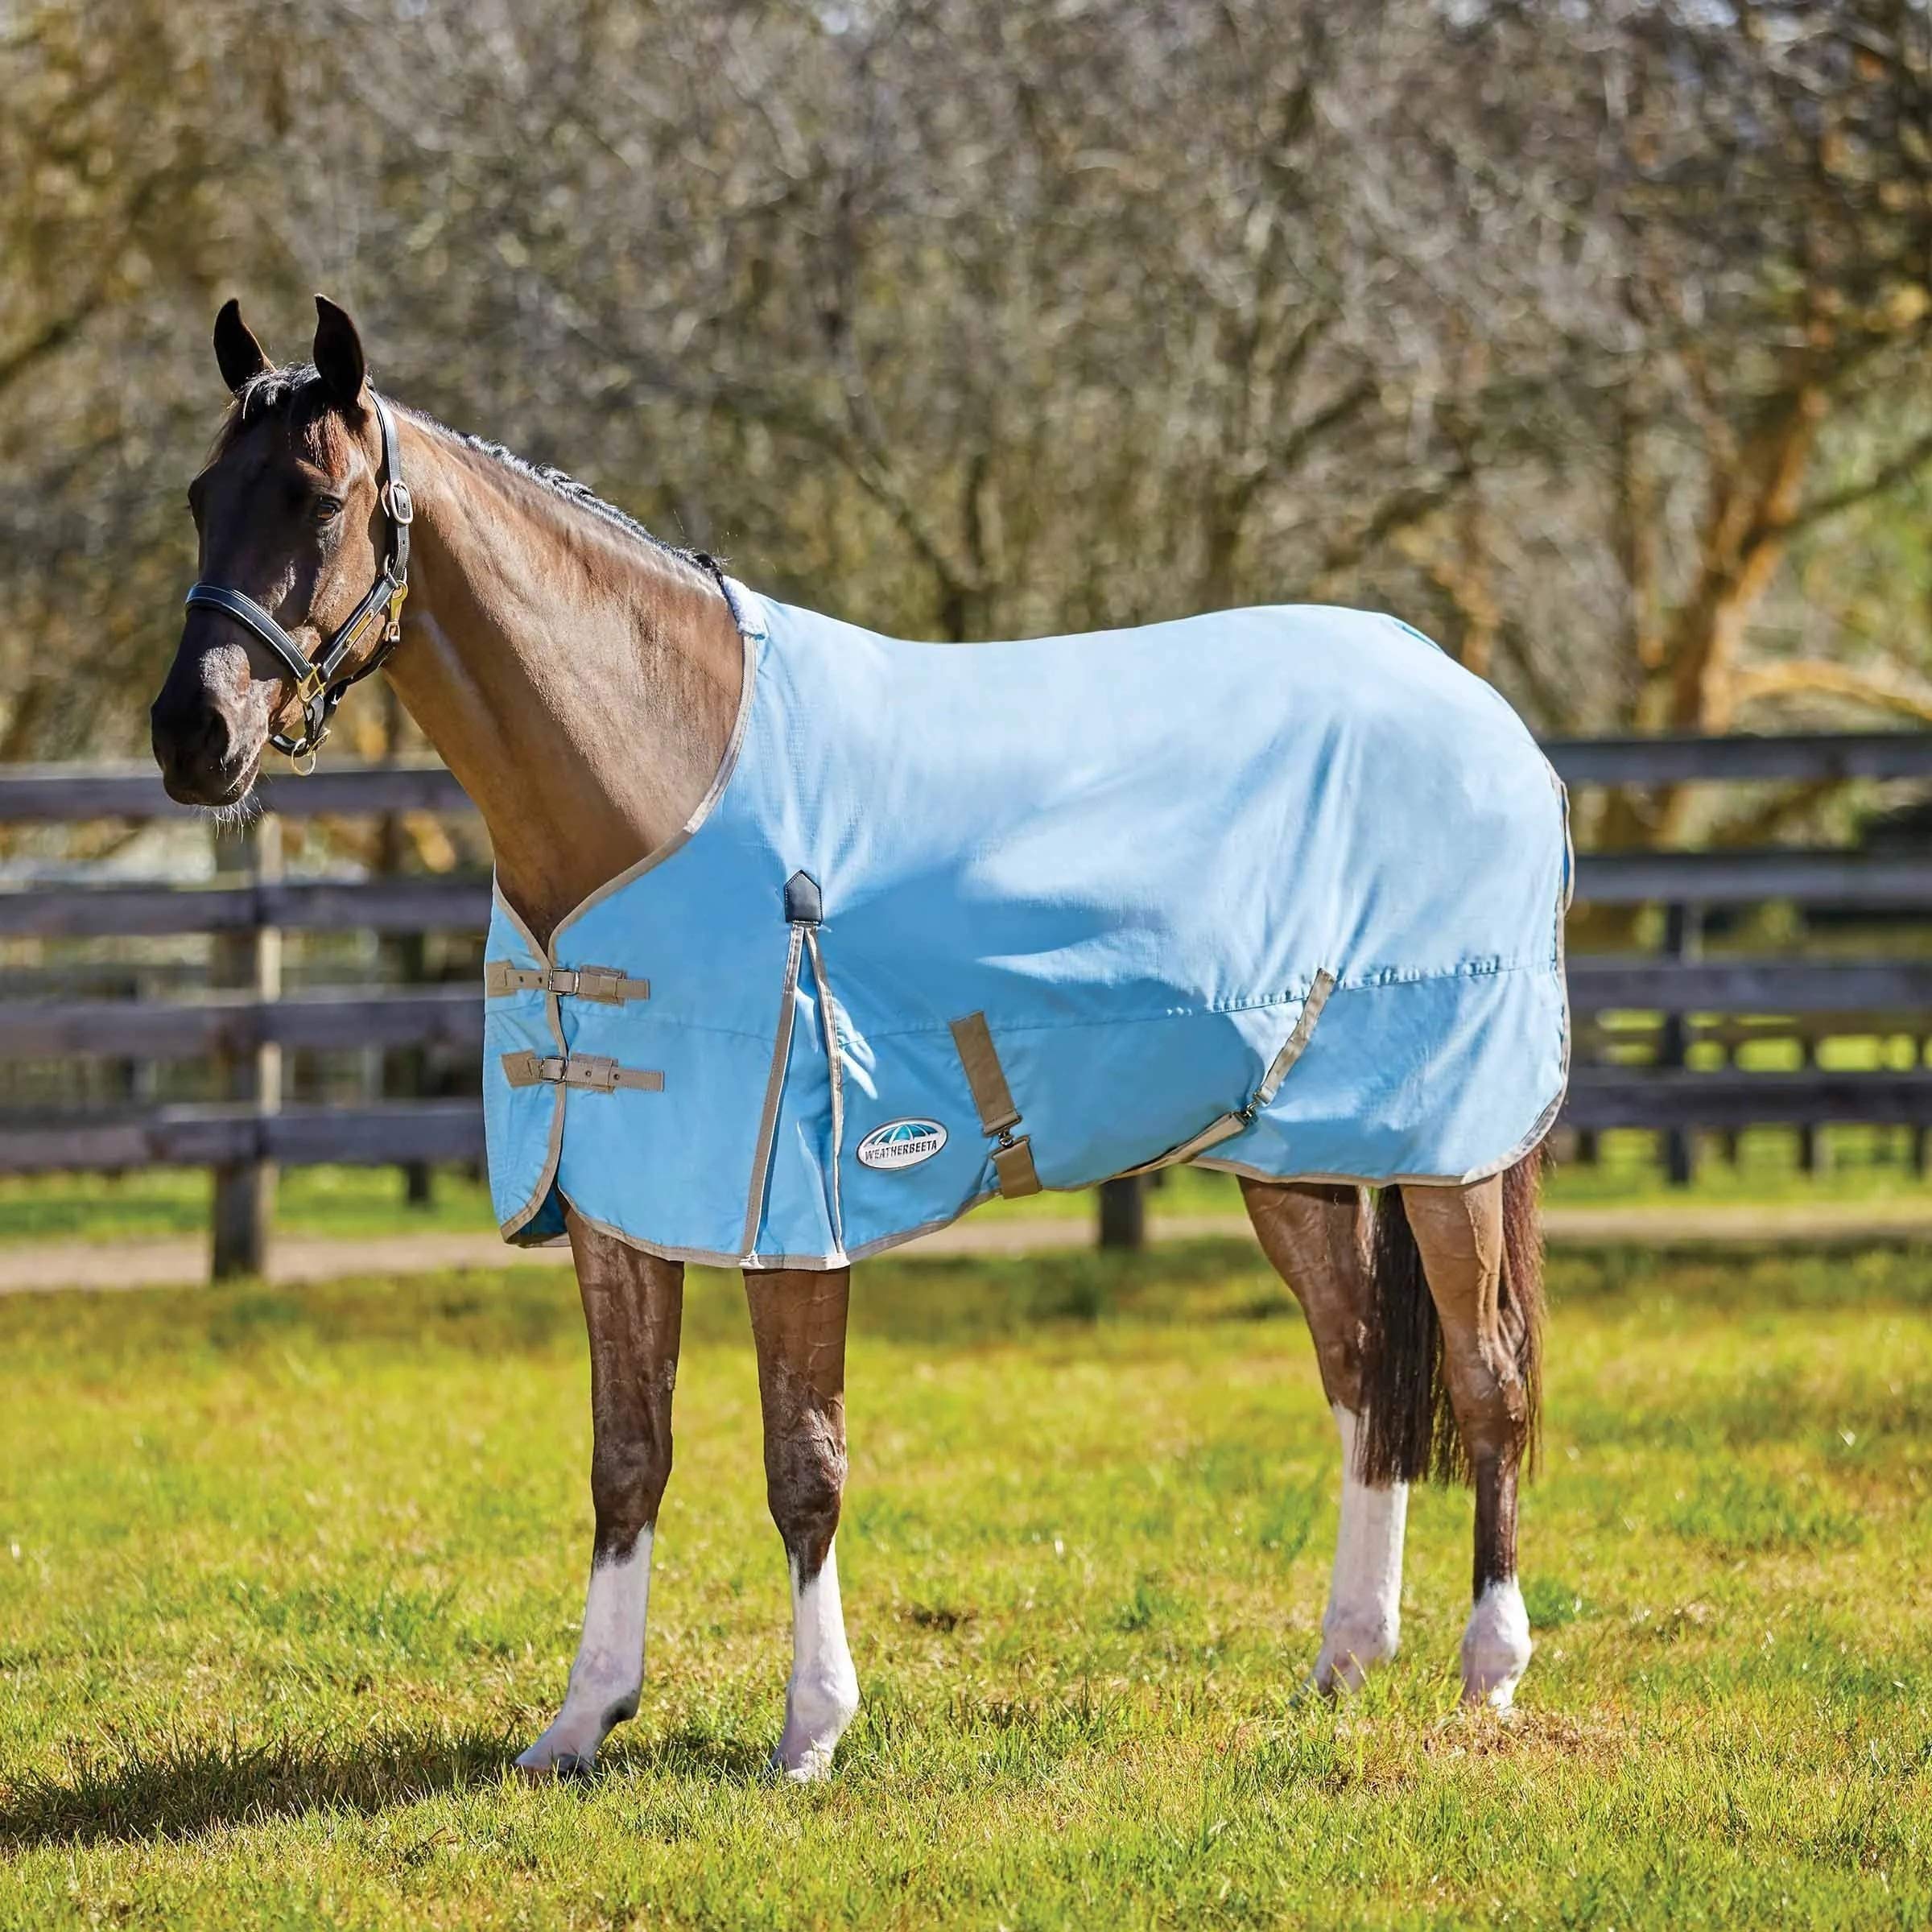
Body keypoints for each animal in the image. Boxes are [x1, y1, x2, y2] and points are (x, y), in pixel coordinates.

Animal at [151, 296, 1561, 1780]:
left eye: (318, 500)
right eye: (199, 496)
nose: (192, 735)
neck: (661, 771)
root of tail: (1479, 706)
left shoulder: (793, 1211)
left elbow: (804, 1464)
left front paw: (812, 1731)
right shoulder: (620, 1197)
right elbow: (627, 1457)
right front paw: (582, 1719)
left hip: (1456, 1153)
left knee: (1487, 1378)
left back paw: (1489, 1674)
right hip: (1297, 1157)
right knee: (1362, 1369)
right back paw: (1346, 1660)